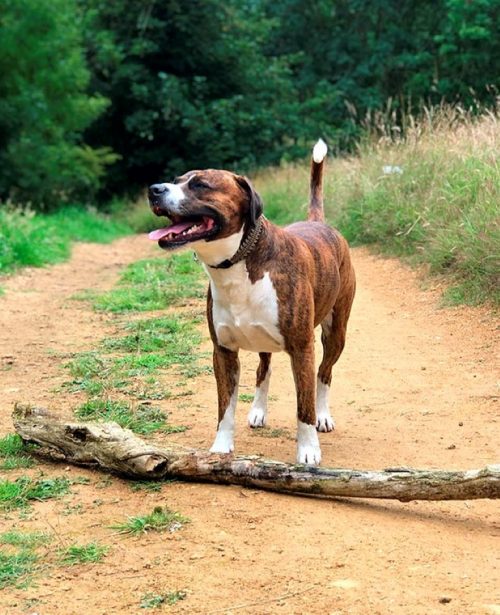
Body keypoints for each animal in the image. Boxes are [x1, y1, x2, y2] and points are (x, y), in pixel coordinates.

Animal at [148, 141, 356, 466]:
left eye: (200, 184)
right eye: (176, 179)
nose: (154, 189)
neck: (237, 261)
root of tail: (317, 223)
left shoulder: (302, 348)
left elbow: (304, 405)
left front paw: (308, 450)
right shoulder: (223, 351)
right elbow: (225, 407)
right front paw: (221, 448)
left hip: (336, 333)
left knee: (324, 373)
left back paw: (323, 416)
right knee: (264, 369)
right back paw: (258, 411)